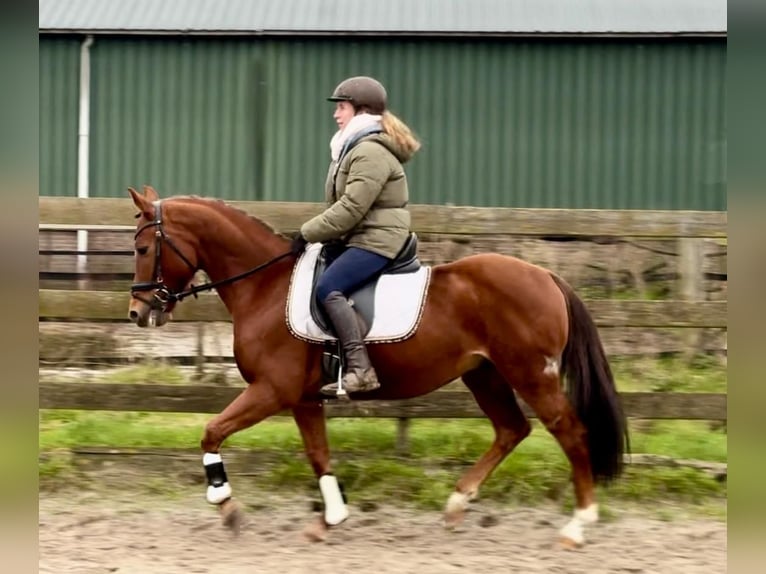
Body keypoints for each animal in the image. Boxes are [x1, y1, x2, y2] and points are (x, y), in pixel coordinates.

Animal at [127, 187, 632, 548]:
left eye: (144, 248)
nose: (138, 312)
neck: (265, 287)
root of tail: (546, 275)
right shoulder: (303, 400)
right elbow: (319, 455)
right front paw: (329, 520)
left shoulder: (272, 390)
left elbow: (211, 431)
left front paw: (227, 506)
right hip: (484, 374)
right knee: (512, 430)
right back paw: (456, 504)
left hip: (530, 373)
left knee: (569, 431)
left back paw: (577, 525)